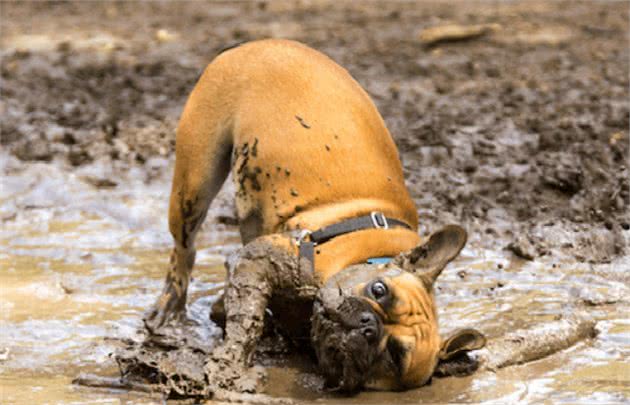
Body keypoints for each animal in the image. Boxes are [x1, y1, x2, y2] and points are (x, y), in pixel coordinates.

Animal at [146, 38, 486, 392]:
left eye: (394, 356)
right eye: (378, 291)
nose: (369, 325)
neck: (370, 254)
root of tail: (259, 44)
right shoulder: (262, 260)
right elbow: (246, 318)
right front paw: (231, 364)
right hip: (195, 180)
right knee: (184, 246)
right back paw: (169, 305)